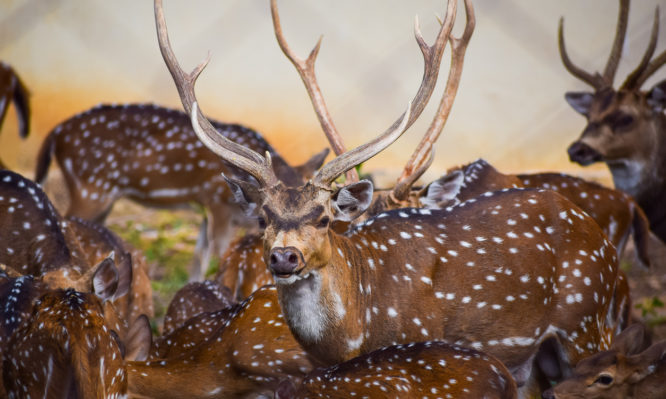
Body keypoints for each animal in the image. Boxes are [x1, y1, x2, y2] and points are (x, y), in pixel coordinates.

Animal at [33, 102, 330, 282]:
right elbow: (216, 253)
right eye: (266, 215)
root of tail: (55, 134)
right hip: (90, 187)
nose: (288, 260)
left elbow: (198, 256)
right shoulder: (216, 200)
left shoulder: (206, 209)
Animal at [156, 0, 624, 396]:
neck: (355, 329)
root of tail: (594, 229)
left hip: (587, 318)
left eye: (323, 217)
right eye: (262, 218)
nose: (285, 257)